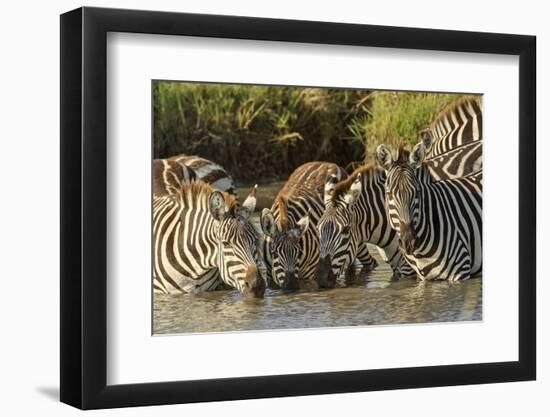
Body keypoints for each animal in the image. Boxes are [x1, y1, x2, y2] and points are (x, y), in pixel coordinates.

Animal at [260, 162, 378, 290]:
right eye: (274, 253)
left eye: (299, 252)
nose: (291, 286)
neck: (284, 219)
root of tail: (328, 163)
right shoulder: (270, 275)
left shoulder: (309, 274)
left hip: (355, 242)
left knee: (367, 263)